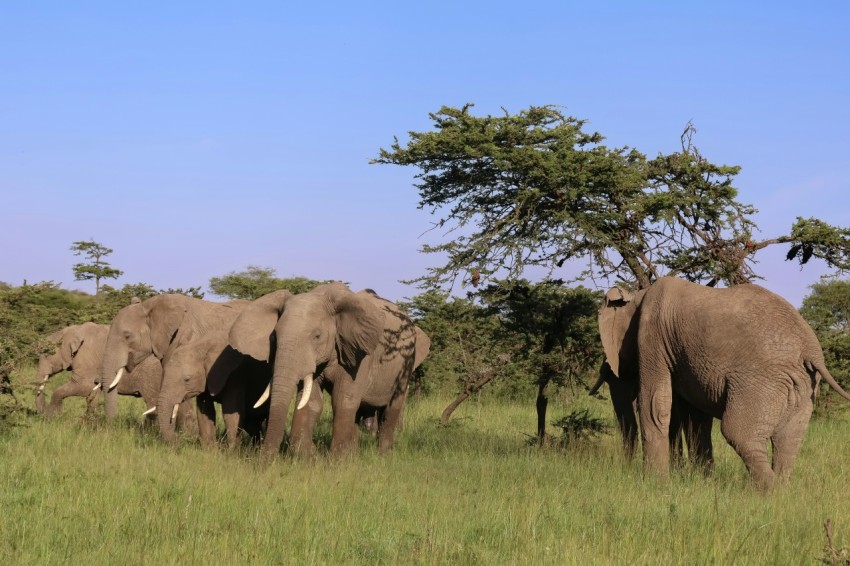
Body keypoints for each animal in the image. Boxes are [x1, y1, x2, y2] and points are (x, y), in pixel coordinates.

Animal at [228, 283, 431, 458]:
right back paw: (353, 455)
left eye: (317, 336)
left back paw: (383, 456)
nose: (264, 462)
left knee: (390, 410)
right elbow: (311, 402)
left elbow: (343, 400)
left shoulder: (361, 354)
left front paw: (336, 463)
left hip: (406, 362)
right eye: (274, 338)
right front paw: (312, 457)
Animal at [598, 276, 850, 489]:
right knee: (788, 441)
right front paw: (702, 481)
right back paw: (783, 490)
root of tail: (811, 351)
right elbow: (696, 418)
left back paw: (770, 492)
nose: (626, 468)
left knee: (737, 432)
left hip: (761, 381)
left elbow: (654, 405)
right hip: (802, 386)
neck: (638, 296)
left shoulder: (652, 337)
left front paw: (656, 483)